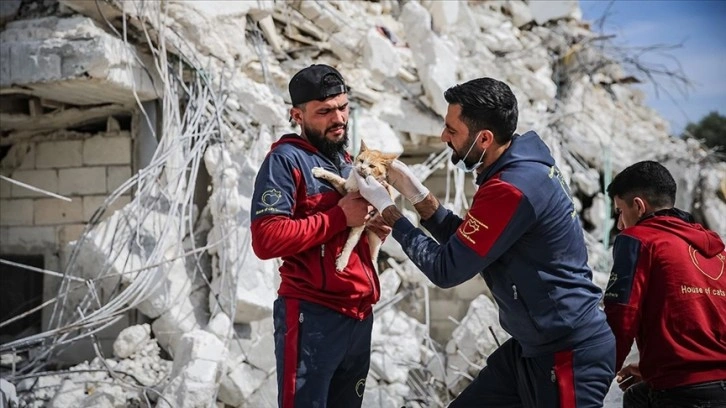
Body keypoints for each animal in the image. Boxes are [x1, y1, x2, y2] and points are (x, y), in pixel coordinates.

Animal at [312, 142, 398, 272]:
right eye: (361, 161)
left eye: (372, 166)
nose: (362, 168)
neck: (360, 184)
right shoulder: (345, 188)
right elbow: (336, 178)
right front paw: (320, 172)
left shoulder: (361, 220)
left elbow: (350, 242)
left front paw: (342, 261)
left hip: (374, 238)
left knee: (373, 258)